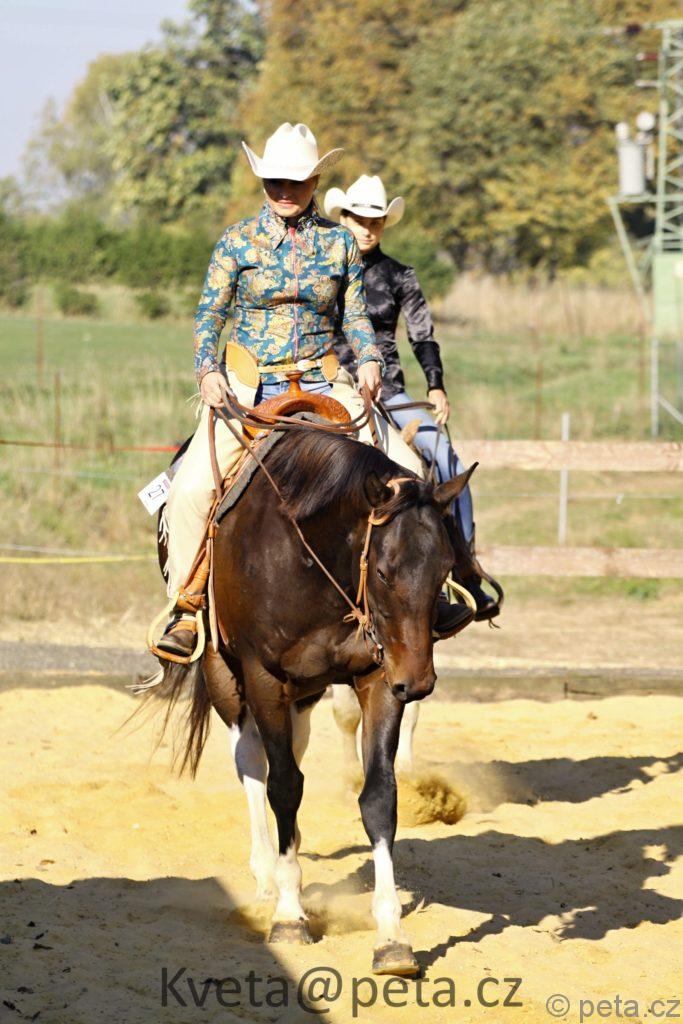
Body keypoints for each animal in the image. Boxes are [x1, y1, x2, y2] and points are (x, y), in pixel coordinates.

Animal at [146, 426, 475, 976]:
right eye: (383, 572)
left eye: (446, 567)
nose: (419, 682)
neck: (314, 564)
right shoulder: (264, 679)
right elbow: (282, 787)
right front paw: (288, 913)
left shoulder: (377, 678)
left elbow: (378, 797)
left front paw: (391, 937)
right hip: (226, 679)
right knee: (251, 764)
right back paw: (267, 873)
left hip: (307, 692)